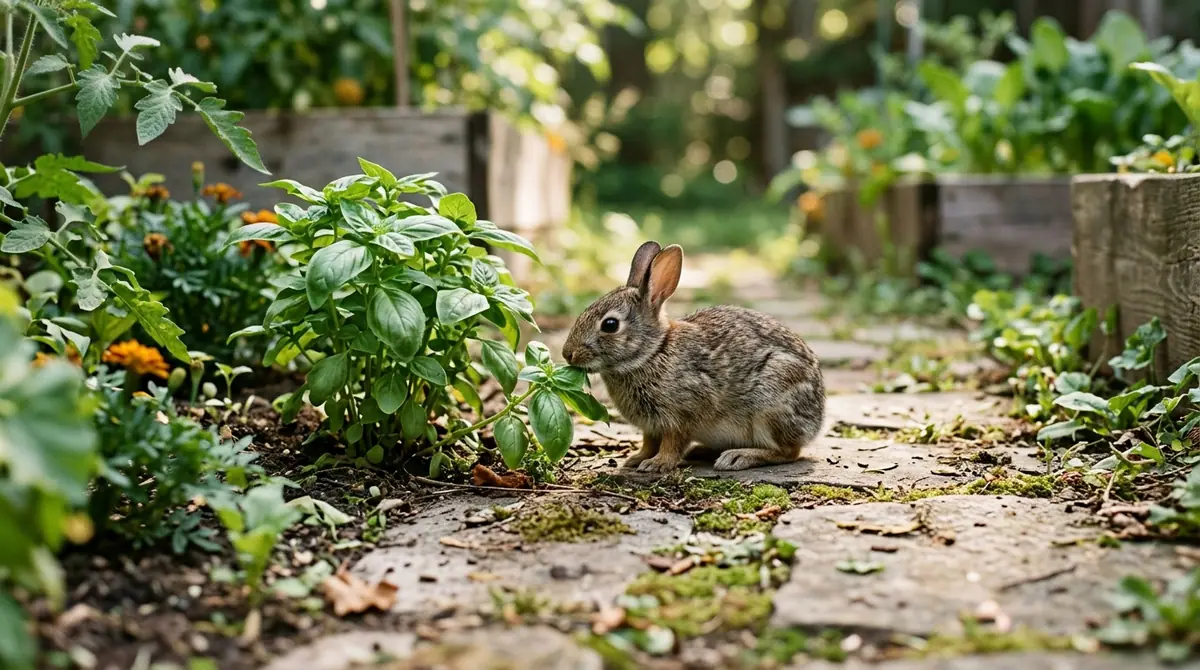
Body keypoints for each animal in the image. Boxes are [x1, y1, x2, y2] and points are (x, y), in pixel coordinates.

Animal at [560, 241, 826, 473]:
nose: (567, 353)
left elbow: (673, 442)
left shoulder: (682, 415)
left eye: (610, 325)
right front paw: (636, 459)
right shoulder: (651, 426)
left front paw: (657, 464)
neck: (653, 352)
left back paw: (737, 457)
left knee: (789, 451)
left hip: (771, 405)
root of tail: (817, 421)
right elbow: (649, 442)